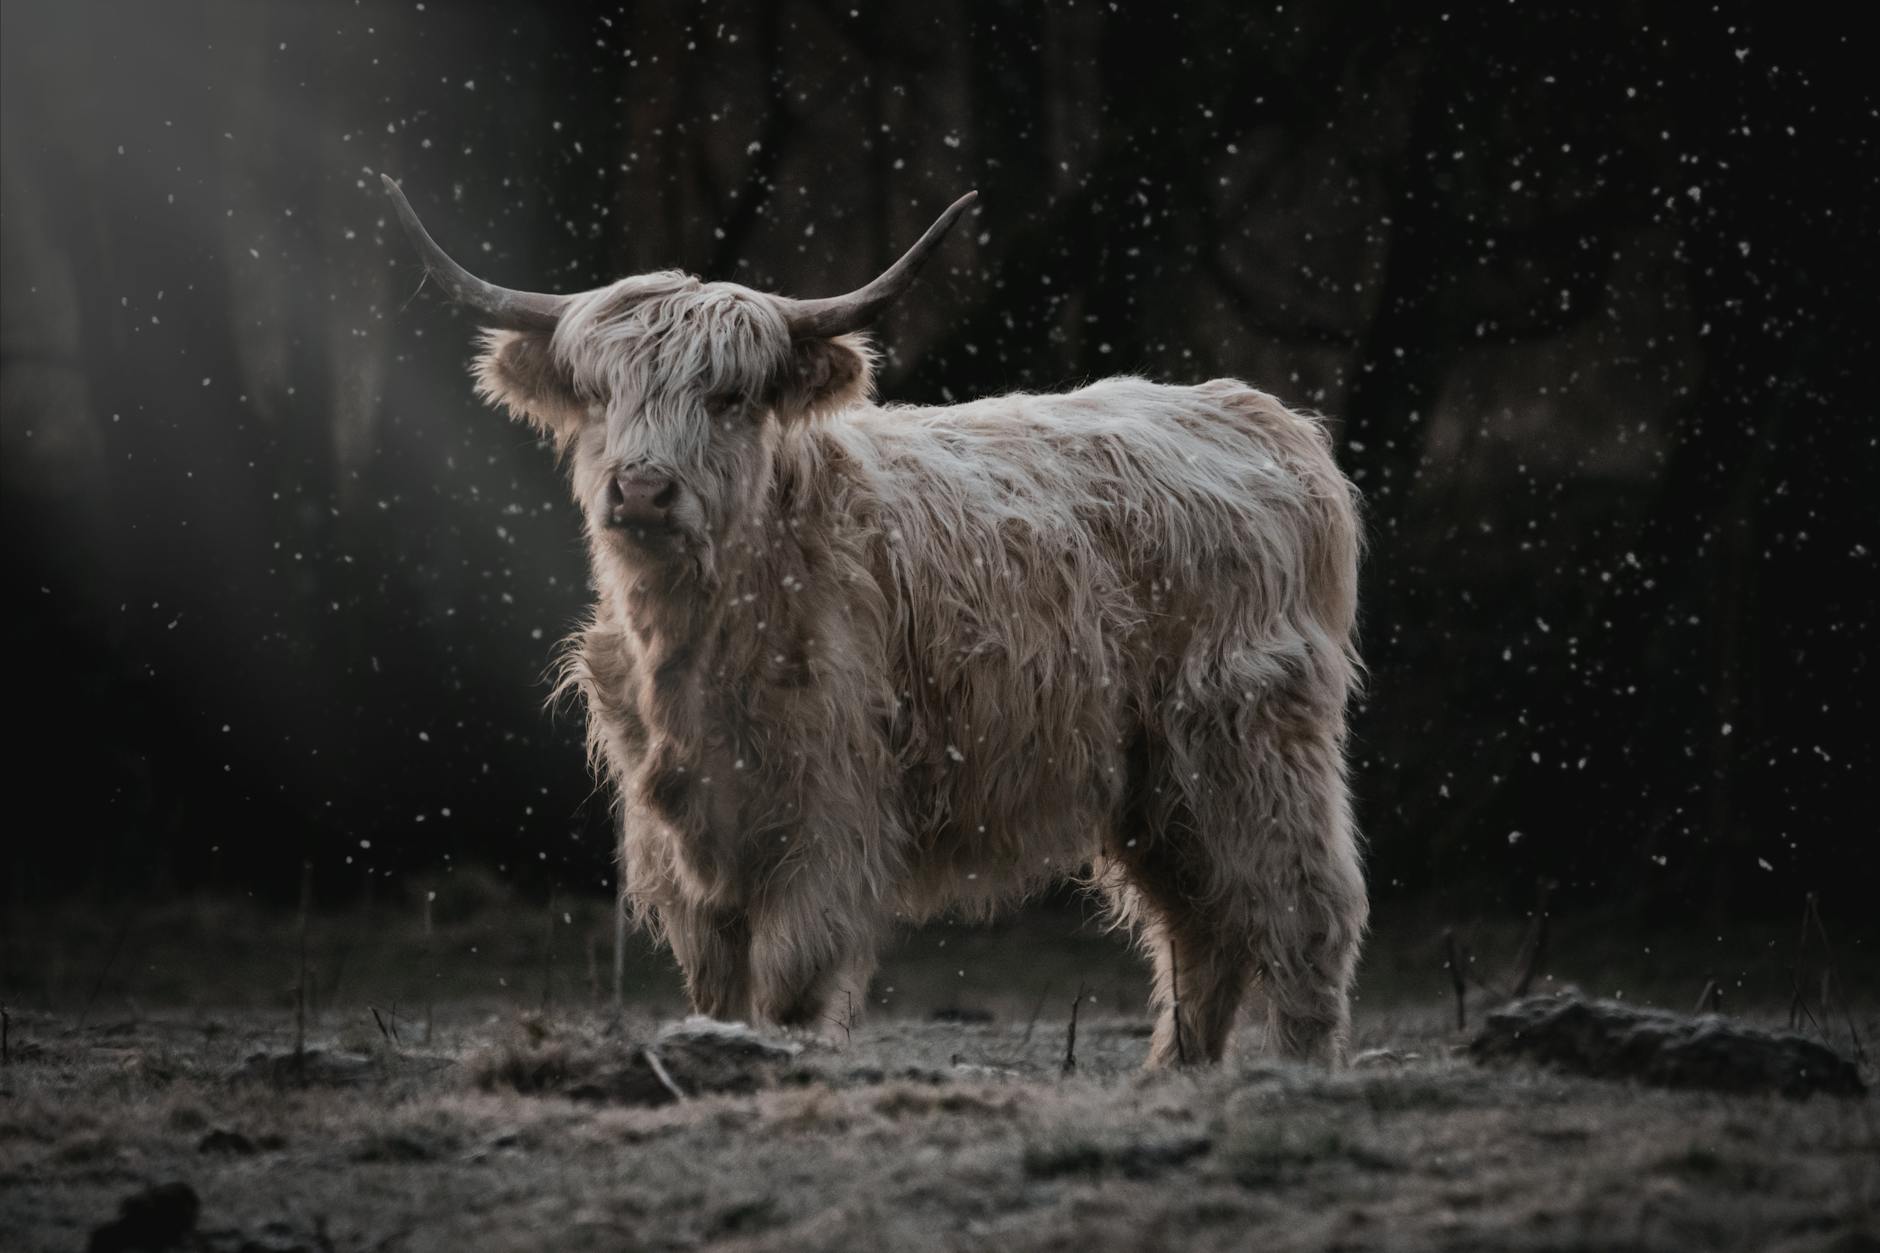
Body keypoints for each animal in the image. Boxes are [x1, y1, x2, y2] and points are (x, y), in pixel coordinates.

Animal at [381, 175, 1367, 1067]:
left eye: (728, 397)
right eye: (597, 395)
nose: (644, 489)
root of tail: (1257, 416)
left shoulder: (829, 817)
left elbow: (791, 980)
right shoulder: (692, 840)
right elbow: (718, 982)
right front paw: (718, 1046)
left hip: (1252, 739)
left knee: (1303, 907)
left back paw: (1296, 1071)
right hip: (1159, 780)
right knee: (1203, 925)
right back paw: (1178, 1073)